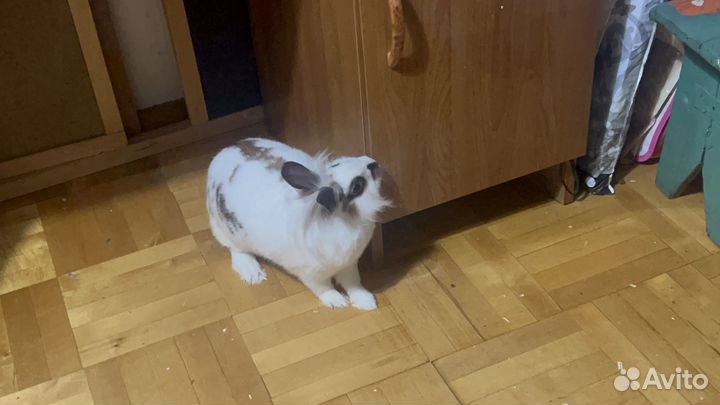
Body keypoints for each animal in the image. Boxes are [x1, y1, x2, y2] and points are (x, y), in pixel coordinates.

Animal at [206, 138, 390, 310]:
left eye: (337, 163)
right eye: (357, 186)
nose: (372, 162)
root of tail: (222, 154)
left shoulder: (349, 264)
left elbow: (353, 283)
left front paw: (367, 302)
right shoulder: (311, 274)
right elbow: (323, 288)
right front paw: (338, 302)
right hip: (226, 230)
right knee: (236, 250)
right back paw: (253, 273)